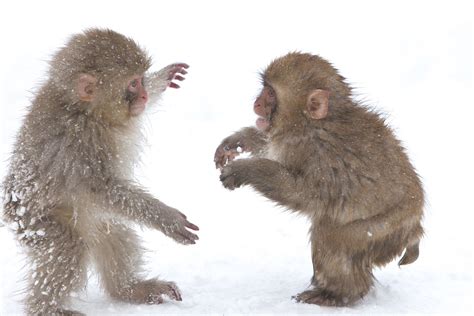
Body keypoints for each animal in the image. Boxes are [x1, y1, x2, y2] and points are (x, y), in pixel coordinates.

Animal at [1, 28, 198, 314]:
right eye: (132, 84)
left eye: (141, 80)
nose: (144, 96)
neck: (85, 111)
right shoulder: (81, 142)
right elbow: (101, 188)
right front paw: (166, 218)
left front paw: (162, 78)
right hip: (32, 223)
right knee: (67, 246)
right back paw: (46, 308)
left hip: (85, 220)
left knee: (113, 231)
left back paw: (129, 290)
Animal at [214, 53, 422, 308]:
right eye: (264, 89)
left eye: (270, 94)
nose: (257, 103)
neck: (310, 123)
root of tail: (416, 224)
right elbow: (268, 146)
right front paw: (236, 141)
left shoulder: (318, 156)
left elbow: (306, 195)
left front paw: (246, 169)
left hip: (387, 226)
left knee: (329, 233)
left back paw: (339, 293)